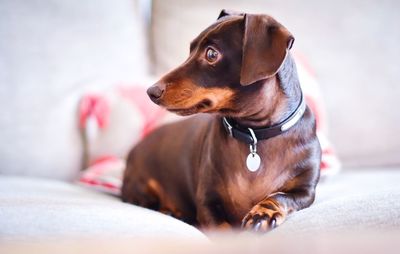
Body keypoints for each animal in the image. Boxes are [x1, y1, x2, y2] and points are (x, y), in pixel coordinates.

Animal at [122, 10, 322, 232]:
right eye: (190, 50)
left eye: (211, 54)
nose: (151, 91)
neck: (255, 134)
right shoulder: (207, 202)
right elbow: (224, 230)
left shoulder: (305, 192)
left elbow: (280, 197)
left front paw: (262, 213)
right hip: (140, 189)